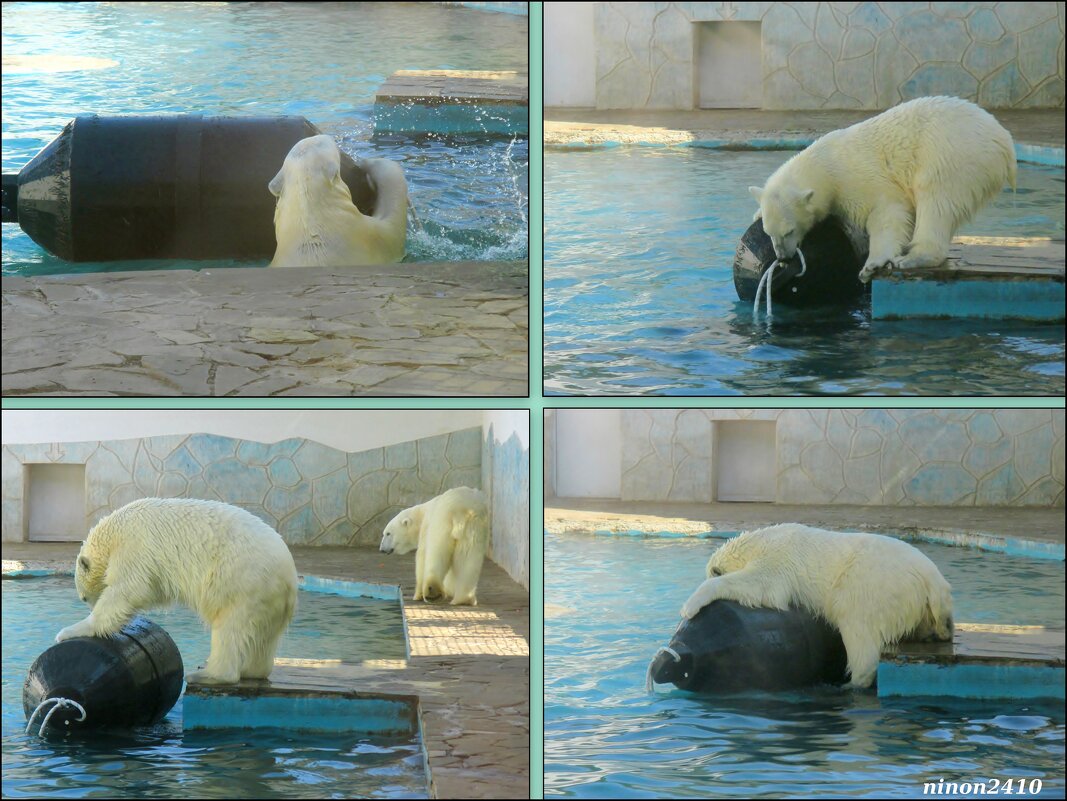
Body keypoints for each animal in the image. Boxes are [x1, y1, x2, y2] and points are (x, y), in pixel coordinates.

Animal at [58, 499, 300, 686]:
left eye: (84, 597)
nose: (89, 605)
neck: (113, 532)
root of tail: (289, 576)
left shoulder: (133, 547)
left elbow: (128, 589)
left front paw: (70, 630)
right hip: (266, 598)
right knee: (263, 637)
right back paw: (253, 670)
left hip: (242, 581)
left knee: (230, 627)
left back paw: (207, 674)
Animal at [678, 526, 956, 691]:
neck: (757, 543)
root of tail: (930, 576)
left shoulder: (777, 559)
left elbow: (760, 584)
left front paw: (689, 606)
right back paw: (935, 632)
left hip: (873, 582)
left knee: (855, 621)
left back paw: (850, 684)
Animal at [751, 94, 1015, 283]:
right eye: (768, 232)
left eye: (789, 231)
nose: (783, 257)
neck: (825, 164)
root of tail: (1004, 141)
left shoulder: (859, 179)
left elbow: (887, 213)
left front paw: (871, 266)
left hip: (951, 153)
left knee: (936, 200)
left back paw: (915, 258)